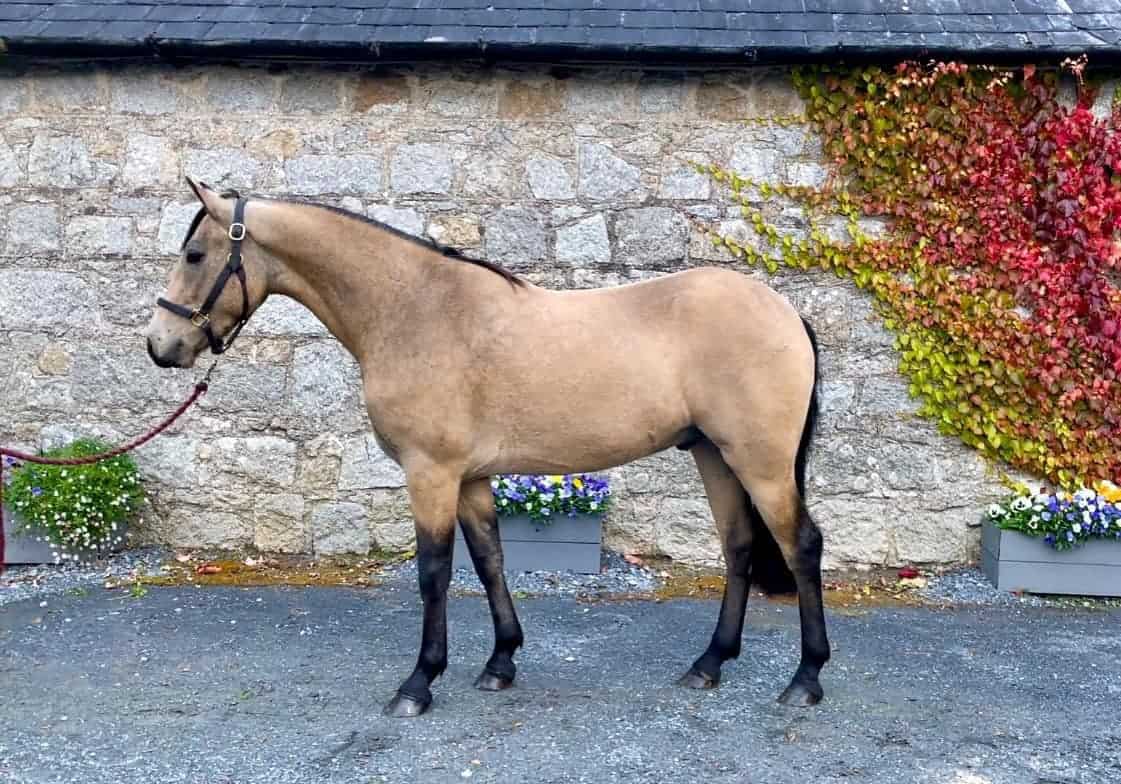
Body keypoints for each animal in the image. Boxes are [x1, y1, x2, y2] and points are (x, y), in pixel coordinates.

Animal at [144, 178, 830, 718]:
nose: (160, 345)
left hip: (760, 462)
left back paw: (806, 679)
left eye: (195, 253)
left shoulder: (430, 473)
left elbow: (434, 572)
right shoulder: (470, 477)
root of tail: (784, 311)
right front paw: (500, 663)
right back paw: (708, 664)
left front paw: (418, 683)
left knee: (800, 546)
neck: (415, 310)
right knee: (739, 547)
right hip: (714, 455)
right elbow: (489, 561)